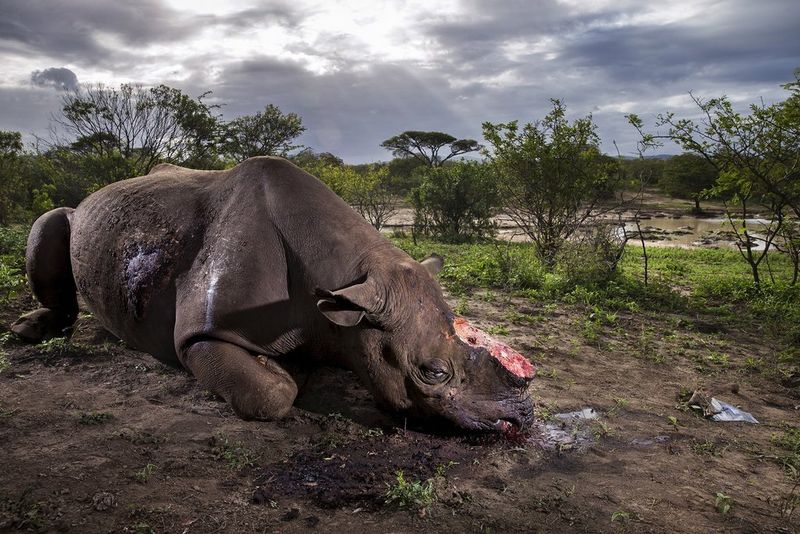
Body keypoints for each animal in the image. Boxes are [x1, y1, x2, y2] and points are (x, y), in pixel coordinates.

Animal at [12, 157, 535, 432]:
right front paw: (283, 371)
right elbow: (270, 394)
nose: (521, 419)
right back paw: (29, 330)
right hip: (78, 217)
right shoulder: (202, 334)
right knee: (51, 221)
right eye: (432, 373)